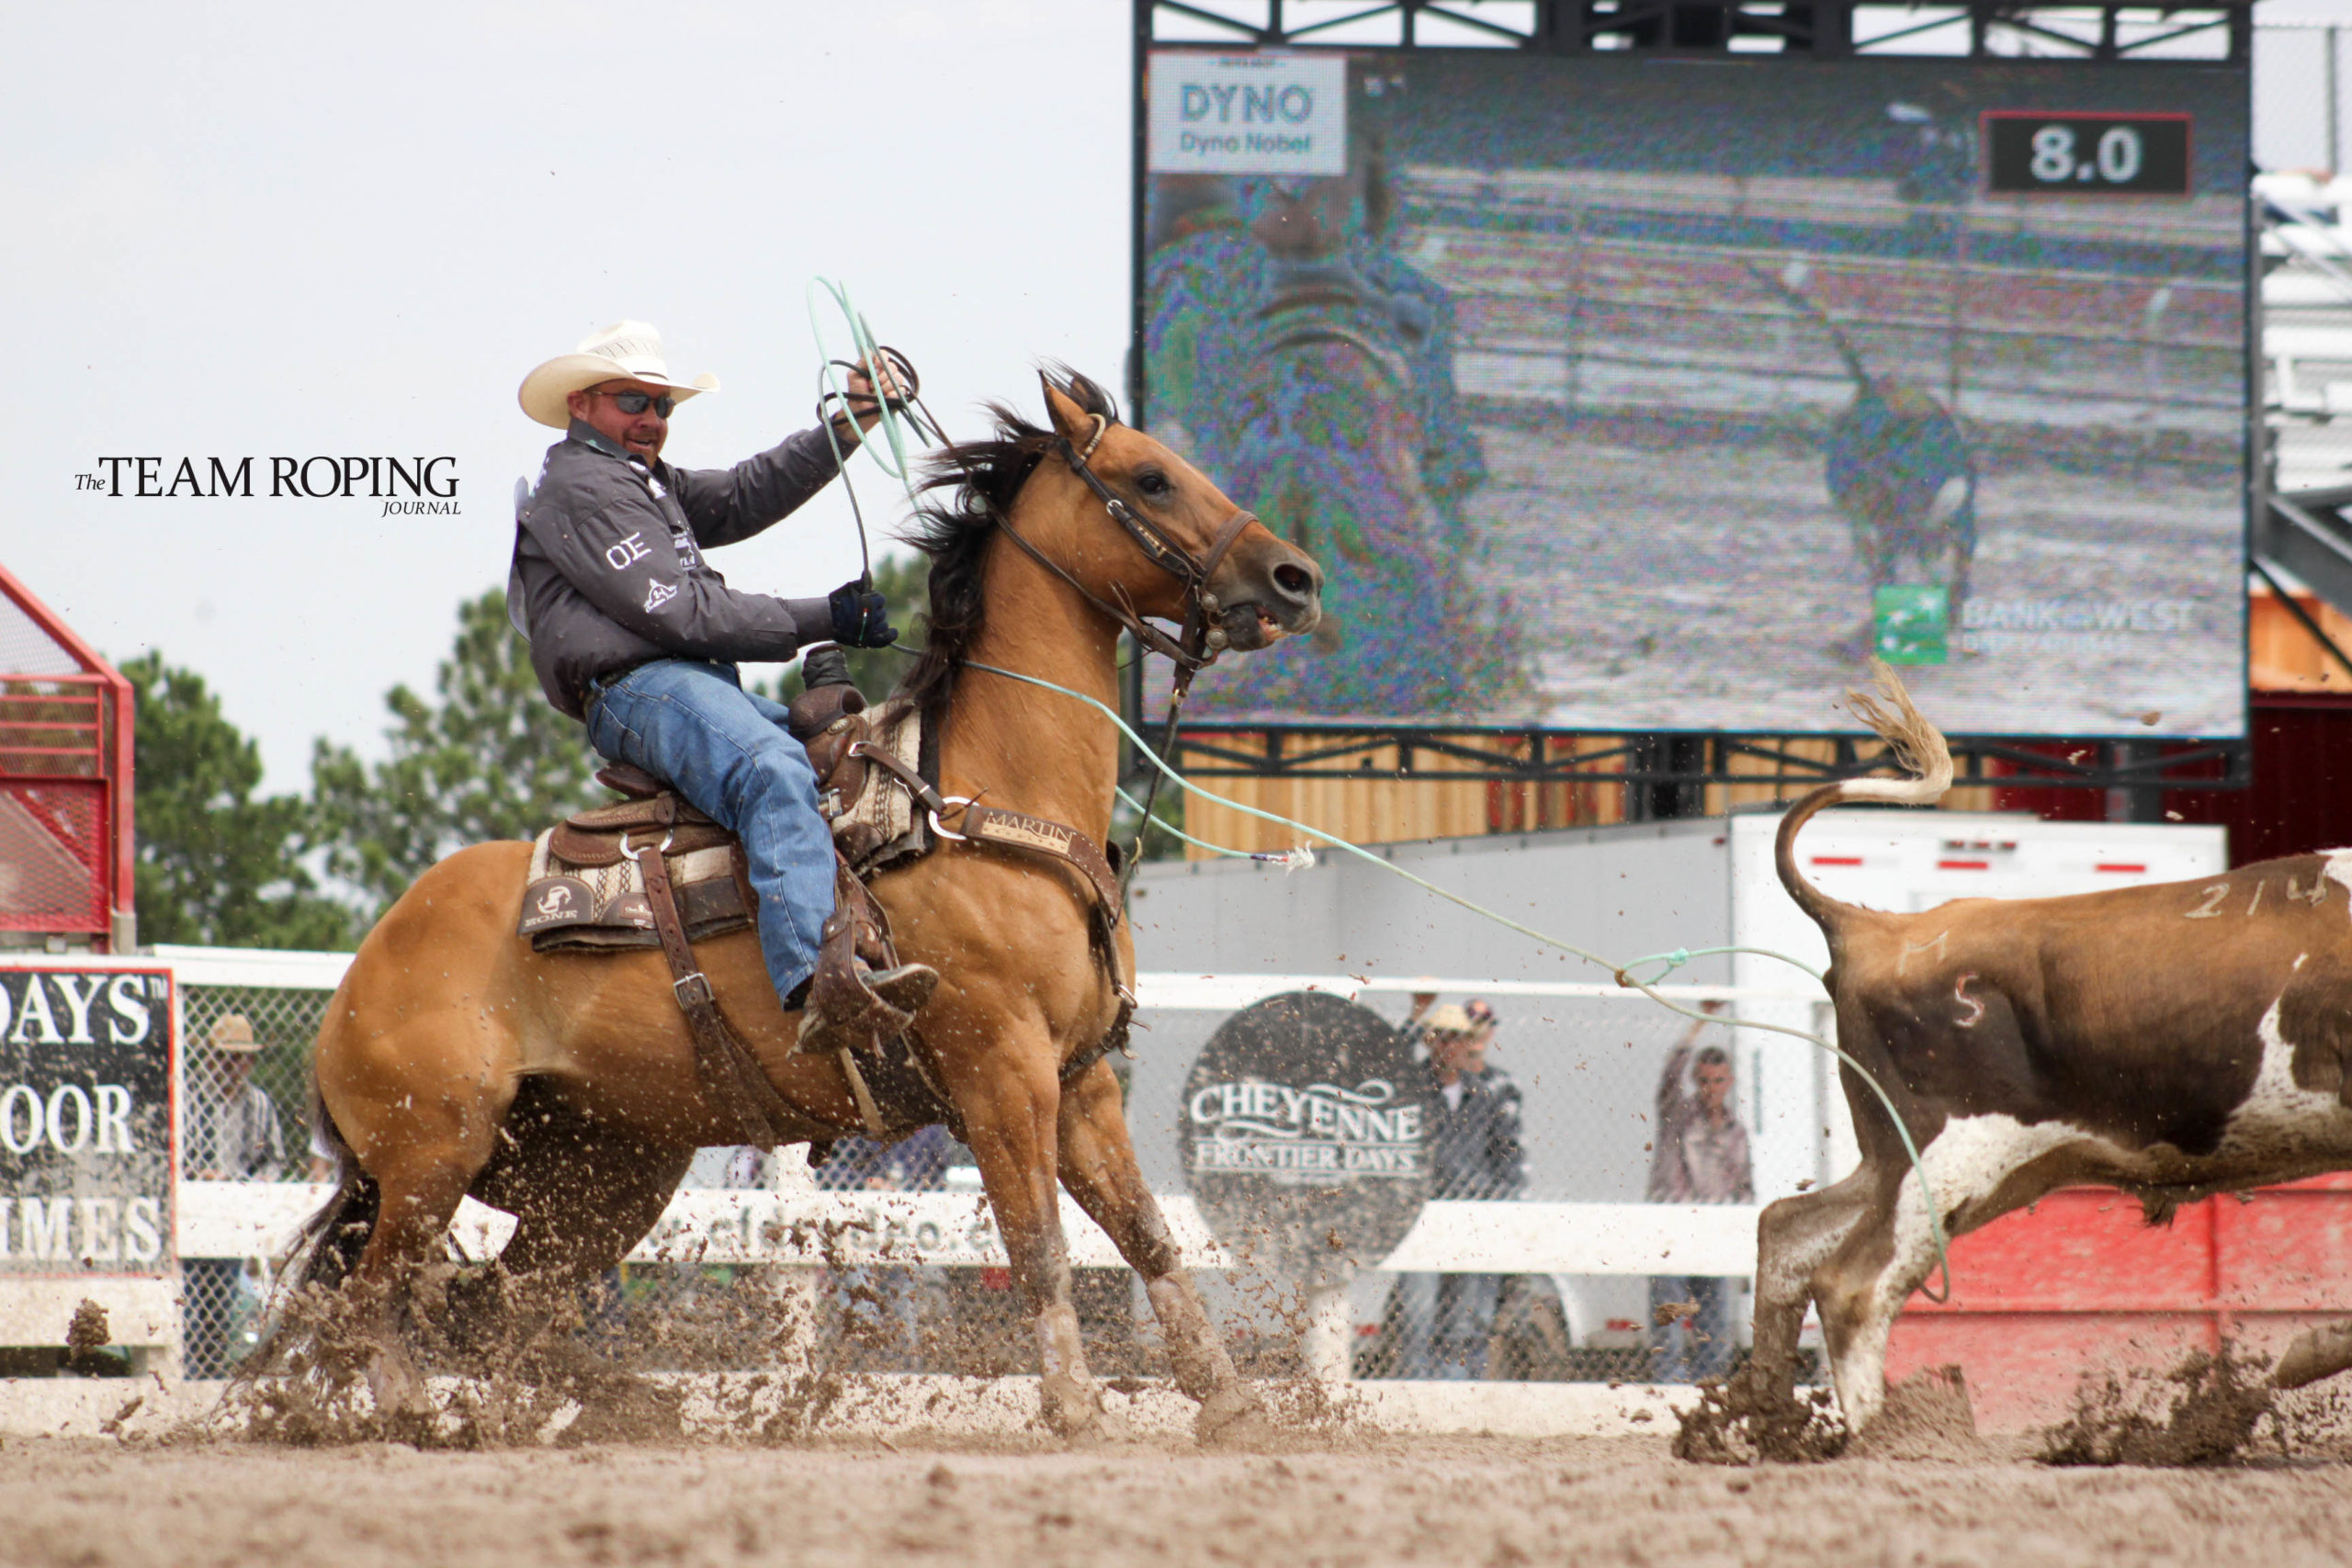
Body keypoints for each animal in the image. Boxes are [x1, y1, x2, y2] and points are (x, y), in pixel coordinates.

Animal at [296, 373, 1326, 1438]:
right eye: (1151, 477)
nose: (1295, 577)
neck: (976, 801)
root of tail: (365, 970)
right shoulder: (1001, 1071)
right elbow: (1039, 1244)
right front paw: (1075, 1408)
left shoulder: (1080, 1077)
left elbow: (1149, 1237)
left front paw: (1231, 1403)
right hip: (433, 1157)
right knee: (371, 1299)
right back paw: (414, 1417)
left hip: (606, 1172)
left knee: (492, 1307)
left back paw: (631, 1406)